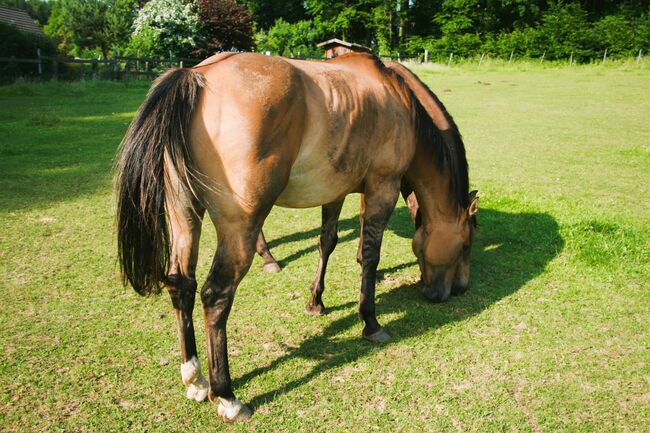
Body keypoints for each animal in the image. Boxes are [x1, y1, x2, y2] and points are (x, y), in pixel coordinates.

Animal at [114, 51, 474, 422]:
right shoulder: (382, 188)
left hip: (184, 215)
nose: (459, 288)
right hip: (239, 227)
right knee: (215, 295)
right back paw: (226, 396)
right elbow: (369, 256)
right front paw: (371, 322)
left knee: (182, 285)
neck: (396, 96)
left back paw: (195, 379)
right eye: (466, 243)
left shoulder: (336, 191)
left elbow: (327, 243)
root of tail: (197, 76)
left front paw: (316, 301)